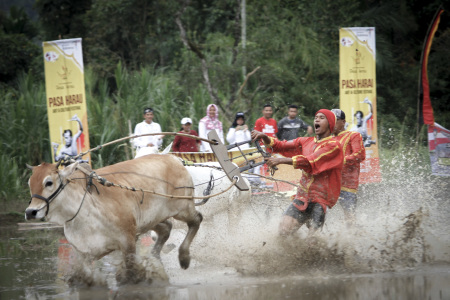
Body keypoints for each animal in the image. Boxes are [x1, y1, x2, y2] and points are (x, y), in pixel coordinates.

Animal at [25, 156, 204, 284]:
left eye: (48, 182)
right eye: (29, 183)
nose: (30, 212)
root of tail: (173, 159)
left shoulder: (128, 241)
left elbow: (131, 275)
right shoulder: (83, 253)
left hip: (183, 207)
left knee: (196, 220)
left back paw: (184, 257)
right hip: (152, 220)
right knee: (166, 228)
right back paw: (155, 258)